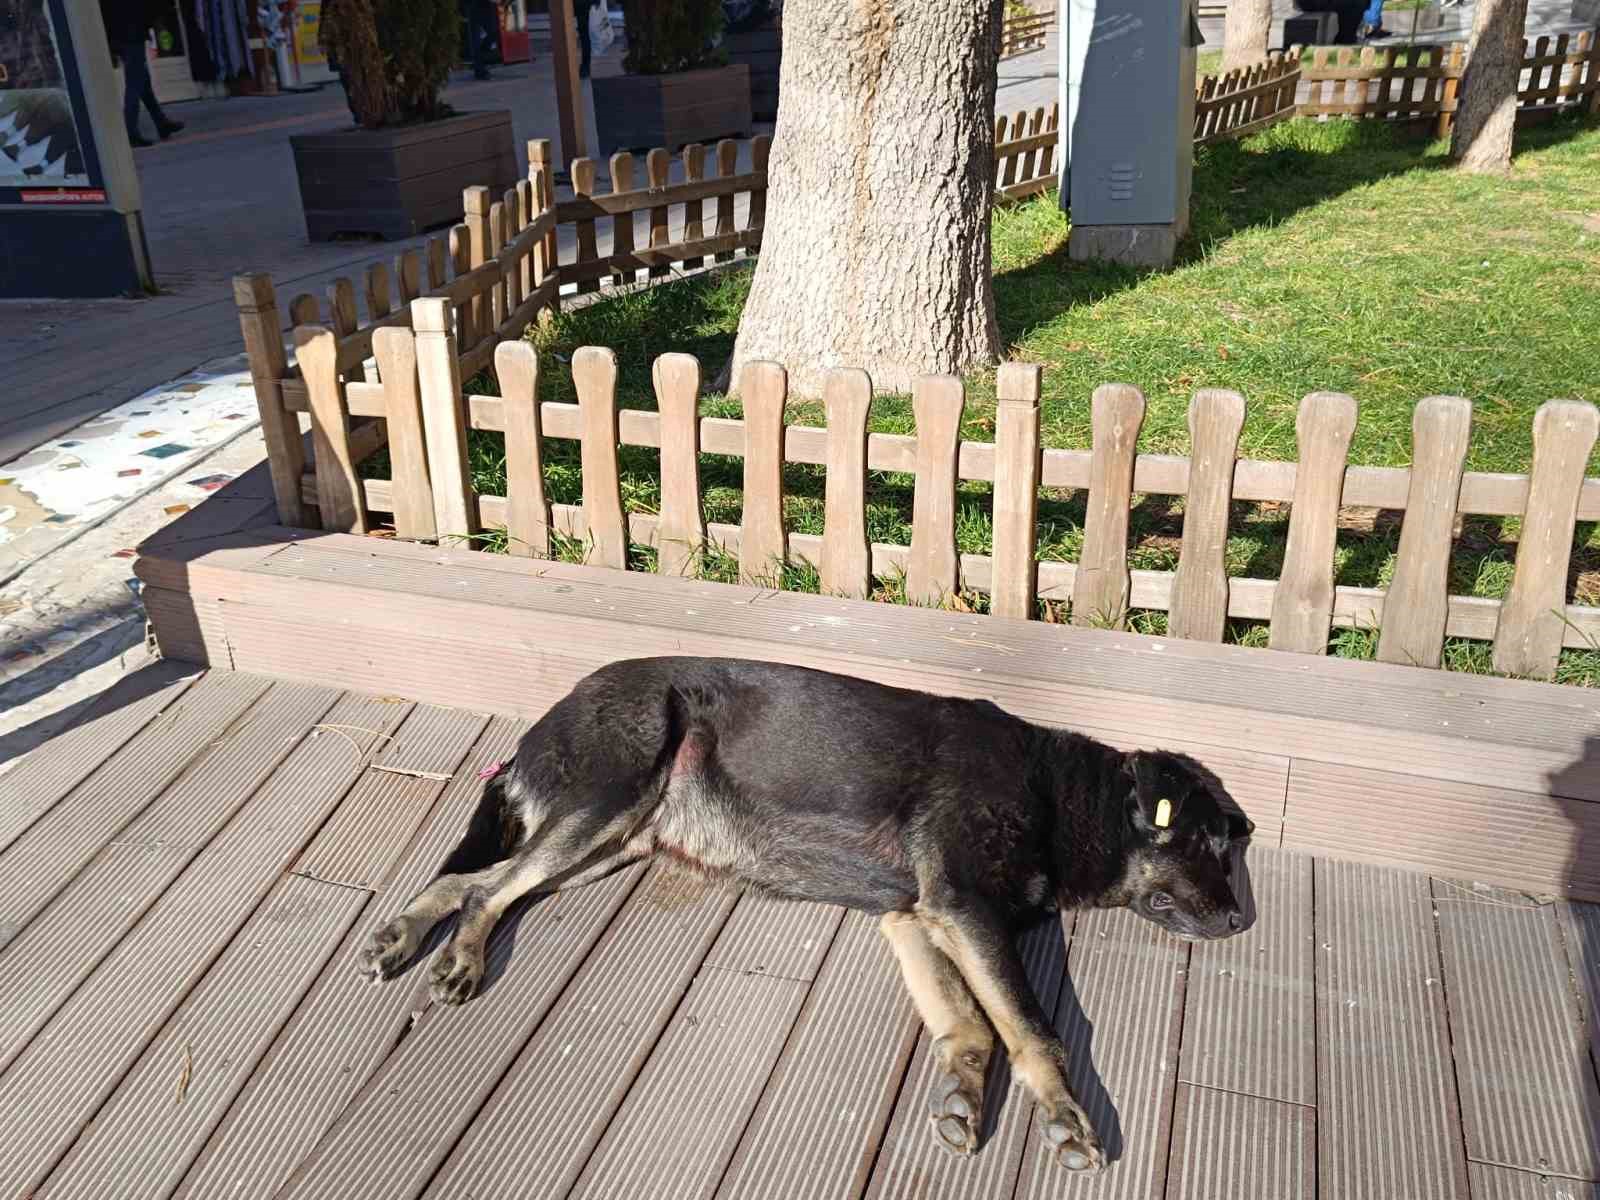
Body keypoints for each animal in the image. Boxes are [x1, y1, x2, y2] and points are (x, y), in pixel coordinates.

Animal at [360, 659, 1248, 1177]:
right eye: (1211, 842)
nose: (1242, 920)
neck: (1060, 793)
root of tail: (543, 722)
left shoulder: (917, 917)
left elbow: (971, 1025)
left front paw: (964, 1093)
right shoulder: (963, 906)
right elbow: (1033, 1026)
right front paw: (1064, 1115)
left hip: (614, 840)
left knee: (474, 879)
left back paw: (401, 934)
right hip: (610, 797)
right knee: (488, 891)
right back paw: (459, 956)